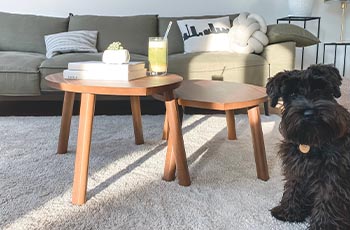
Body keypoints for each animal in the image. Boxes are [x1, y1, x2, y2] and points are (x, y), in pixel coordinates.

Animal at [266, 63, 350, 229]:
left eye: (320, 89)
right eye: (292, 94)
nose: (309, 113)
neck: (313, 142)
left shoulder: (333, 172)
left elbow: (328, 197)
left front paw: (325, 225)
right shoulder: (296, 166)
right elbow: (293, 186)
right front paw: (288, 211)